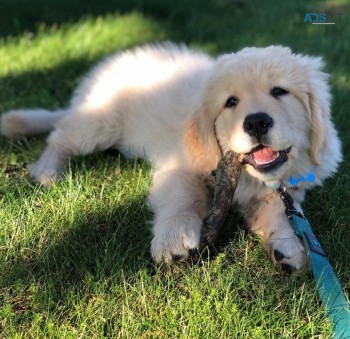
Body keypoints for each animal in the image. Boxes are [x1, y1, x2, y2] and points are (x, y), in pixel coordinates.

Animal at [1, 43, 342, 270]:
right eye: (230, 102)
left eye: (280, 92)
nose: (257, 122)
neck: (250, 177)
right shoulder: (180, 166)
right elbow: (183, 197)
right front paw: (174, 239)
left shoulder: (281, 190)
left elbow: (282, 212)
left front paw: (289, 247)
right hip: (99, 123)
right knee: (60, 137)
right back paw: (47, 170)